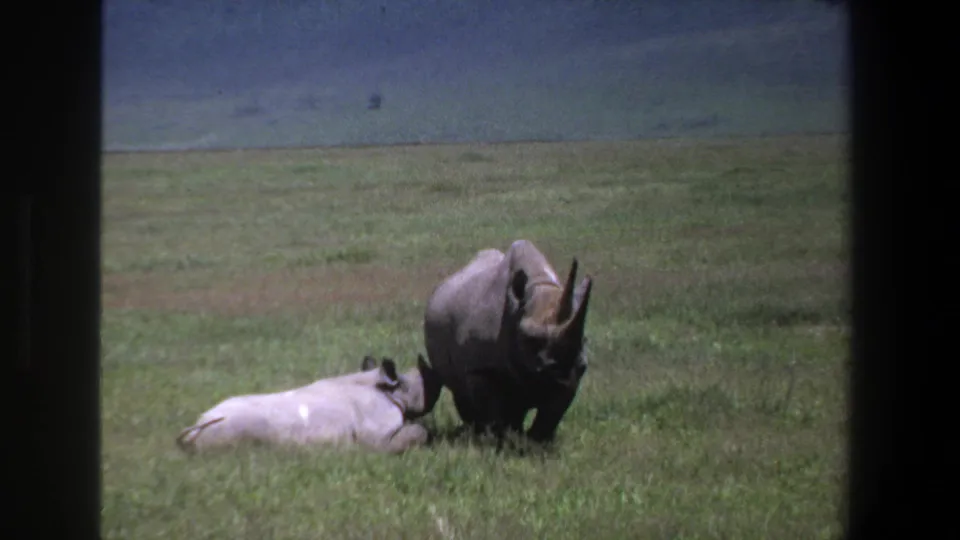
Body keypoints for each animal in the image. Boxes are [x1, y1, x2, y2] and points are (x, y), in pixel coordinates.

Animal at [175, 354, 442, 454]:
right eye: (425, 384)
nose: (436, 374)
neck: (391, 390)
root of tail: (195, 429)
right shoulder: (377, 435)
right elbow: (418, 431)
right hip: (231, 430)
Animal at [424, 239, 593, 445]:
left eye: (584, 339)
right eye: (530, 339)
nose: (562, 372)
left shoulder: (573, 376)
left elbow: (551, 415)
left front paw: (537, 444)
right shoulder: (480, 368)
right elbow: (493, 412)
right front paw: (501, 443)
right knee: (461, 392)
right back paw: (476, 433)